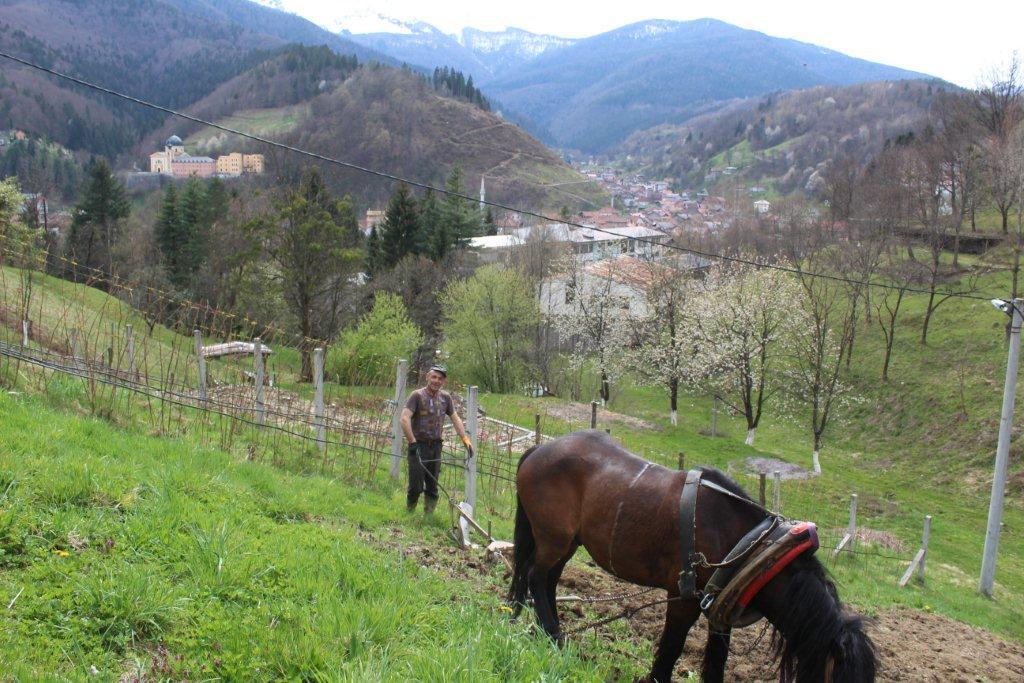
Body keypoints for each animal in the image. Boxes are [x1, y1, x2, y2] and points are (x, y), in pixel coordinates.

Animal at [507, 432, 876, 683]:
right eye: (842, 679)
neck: (752, 549)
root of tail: (540, 449)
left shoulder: (720, 612)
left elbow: (716, 661)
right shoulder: (683, 598)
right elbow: (672, 648)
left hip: (567, 542)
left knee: (546, 579)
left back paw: (542, 630)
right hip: (554, 538)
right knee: (536, 576)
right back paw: (553, 636)